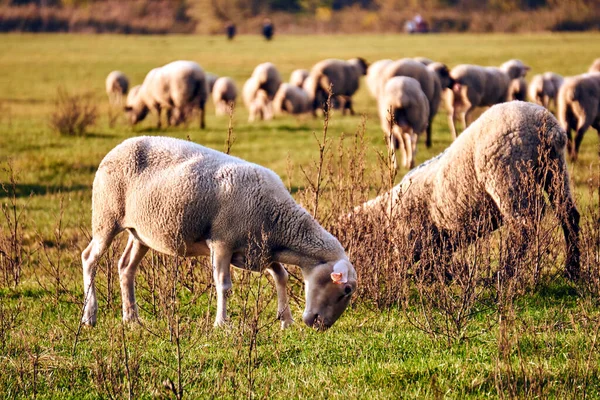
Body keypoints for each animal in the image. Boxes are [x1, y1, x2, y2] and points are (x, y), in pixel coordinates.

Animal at [82, 136, 358, 330]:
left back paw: (131, 318)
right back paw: (89, 316)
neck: (278, 221)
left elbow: (281, 277)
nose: (320, 326)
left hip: (140, 232)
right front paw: (222, 323)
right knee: (89, 259)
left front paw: (286, 320)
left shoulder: (260, 251)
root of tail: (118, 147)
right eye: (346, 290)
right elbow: (223, 285)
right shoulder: (223, 242)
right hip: (106, 217)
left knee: (126, 267)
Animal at [356, 101, 580, 282]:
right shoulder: (438, 240)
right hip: (554, 169)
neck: (385, 214)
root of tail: (548, 126)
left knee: (524, 227)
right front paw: (442, 275)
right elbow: (435, 260)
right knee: (568, 214)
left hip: (508, 173)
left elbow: (404, 266)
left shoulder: (411, 238)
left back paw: (502, 276)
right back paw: (572, 269)